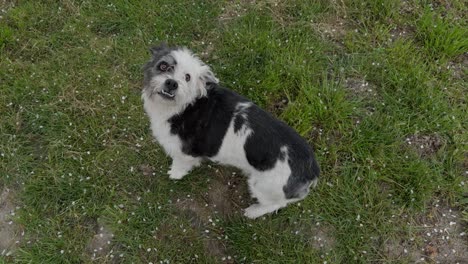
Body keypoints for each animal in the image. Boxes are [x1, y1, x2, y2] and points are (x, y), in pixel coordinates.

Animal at [141, 43, 320, 219]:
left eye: (187, 77)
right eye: (163, 66)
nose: (172, 83)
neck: (186, 105)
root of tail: (311, 170)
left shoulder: (184, 153)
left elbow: (180, 165)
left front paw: (175, 174)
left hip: (264, 187)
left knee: (276, 204)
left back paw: (253, 212)